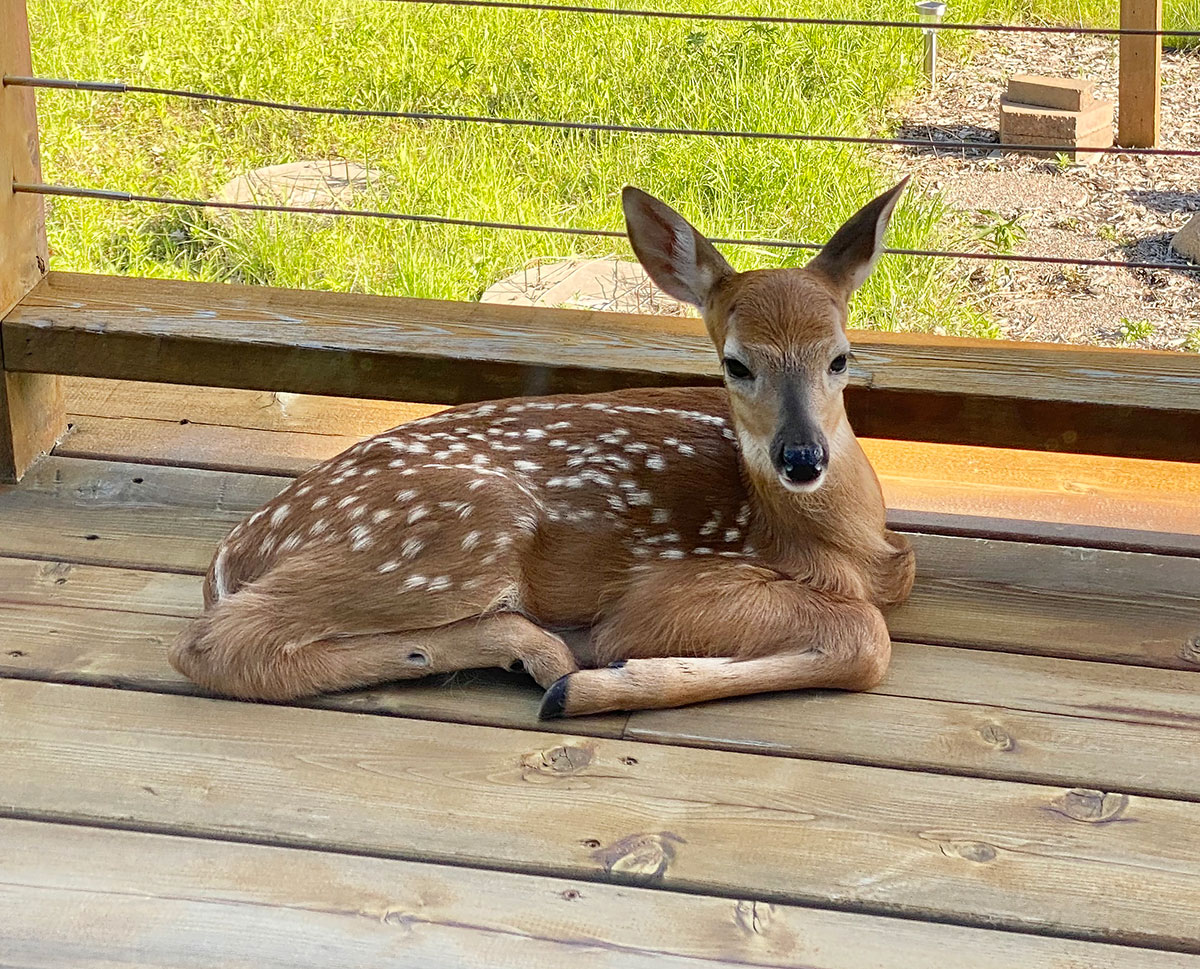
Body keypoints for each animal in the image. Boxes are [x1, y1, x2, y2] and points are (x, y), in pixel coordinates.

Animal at [169, 179, 917, 718]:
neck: (843, 540)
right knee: (211, 645)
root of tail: (232, 554)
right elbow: (865, 637)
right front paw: (613, 677)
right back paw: (556, 669)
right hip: (452, 532)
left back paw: (534, 656)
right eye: (735, 363)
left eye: (841, 357)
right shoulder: (671, 591)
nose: (802, 458)